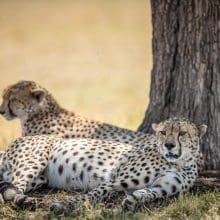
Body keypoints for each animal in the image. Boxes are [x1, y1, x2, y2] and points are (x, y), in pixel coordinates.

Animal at [0, 118, 206, 213]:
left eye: (182, 133)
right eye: (163, 132)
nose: (169, 145)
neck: (178, 162)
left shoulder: (162, 187)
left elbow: (148, 193)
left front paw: (133, 200)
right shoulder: (115, 179)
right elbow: (92, 194)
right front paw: (64, 206)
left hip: (39, 178)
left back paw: (24, 201)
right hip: (34, 162)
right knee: (12, 188)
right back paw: (23, 201)